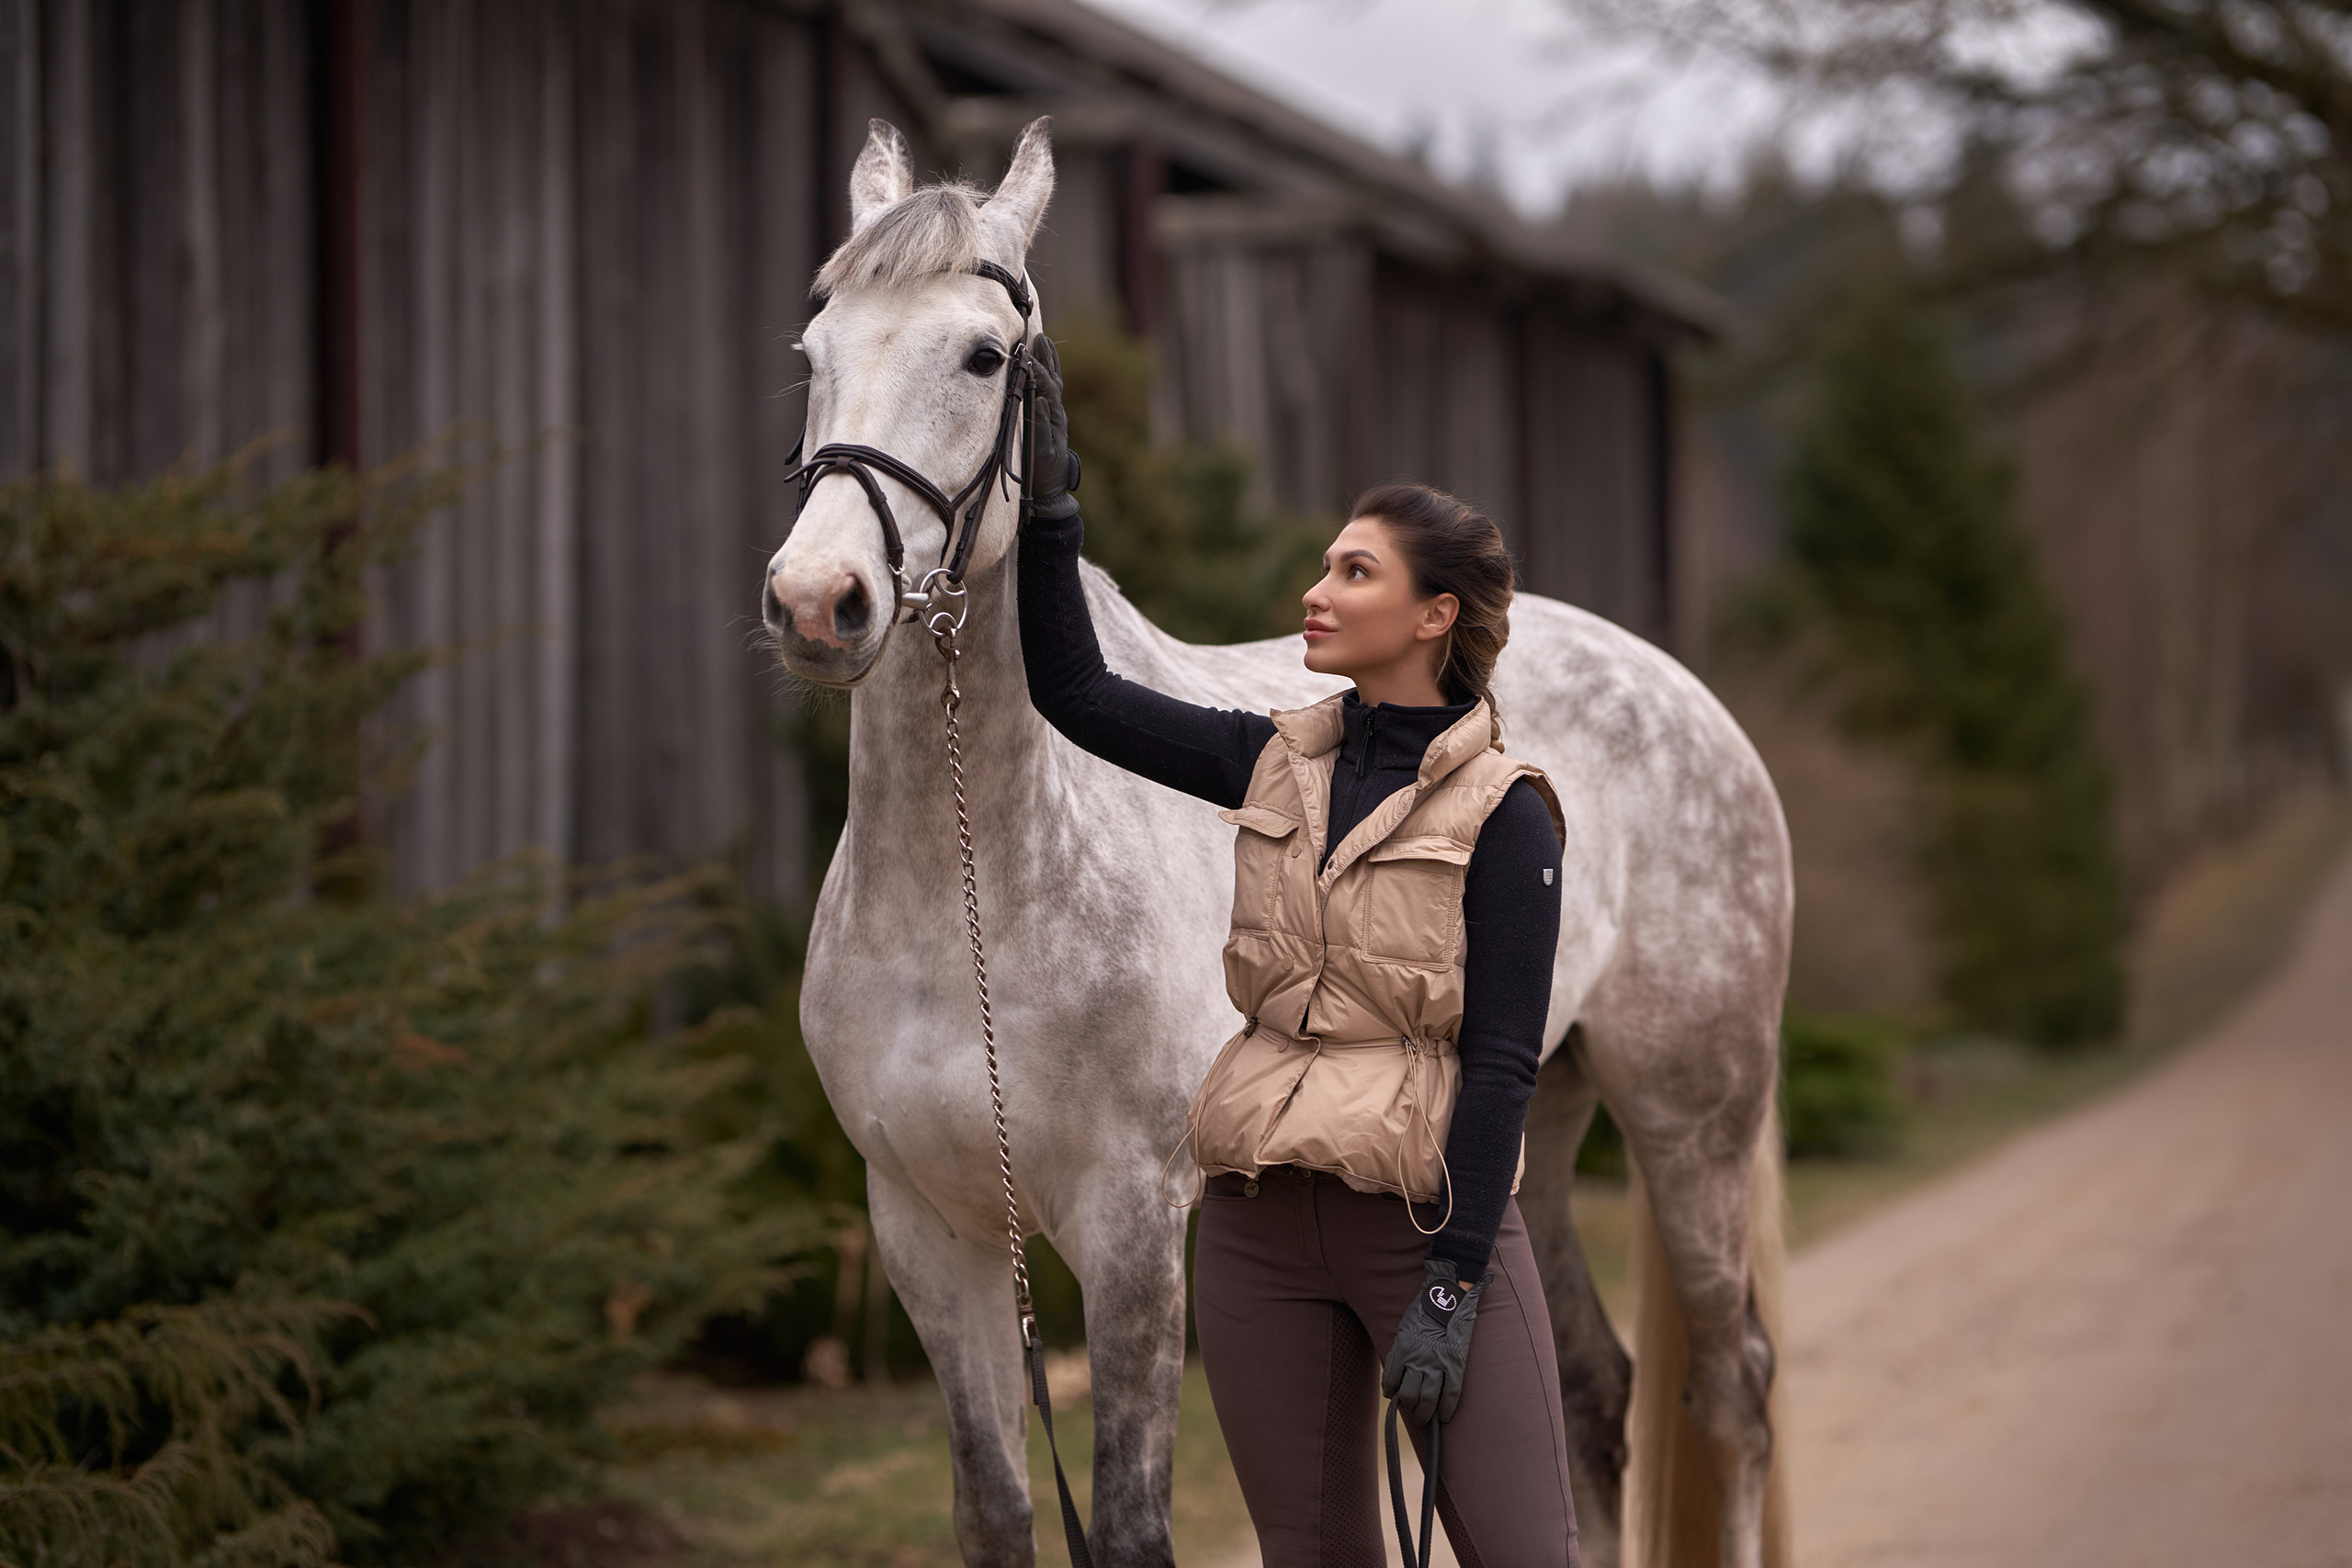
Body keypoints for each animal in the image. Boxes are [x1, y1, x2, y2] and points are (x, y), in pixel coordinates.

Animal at [761, 116, 1793, 1568]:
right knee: (1591, 1397)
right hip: (1527, 1141)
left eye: (982, 356)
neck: (964, 899)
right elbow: (996, 1513)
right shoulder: (929, 1232)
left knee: (1733, 1387)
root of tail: (1685, 695)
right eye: (813, 355)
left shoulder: (1132, 1228)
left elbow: (1128, 1521)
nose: (818, 601)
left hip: (1691, 1109)